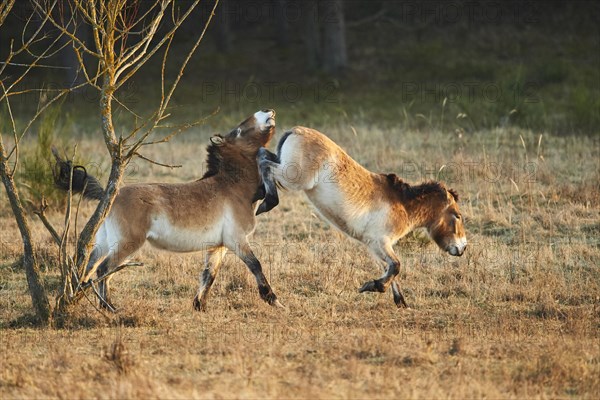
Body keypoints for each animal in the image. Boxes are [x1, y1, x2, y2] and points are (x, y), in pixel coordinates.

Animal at [56, 110, 284, 312]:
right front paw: (274, 300)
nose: (268, 112)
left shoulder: (218, 246)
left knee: (89, 268)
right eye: (238, 131)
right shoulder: (236, 240)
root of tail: (110, 195)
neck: (231, 187)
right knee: (105, 269)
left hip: (105, 243)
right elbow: (255, 265)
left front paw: (199, 306)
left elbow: (209, 275)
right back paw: (109, 307)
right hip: (127, 244)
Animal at [255, 126, 466, 308]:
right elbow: (396, 266)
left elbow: (390, 270)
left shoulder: (374, 246)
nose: (462, 248)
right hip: (293, 178)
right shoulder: (381, 242)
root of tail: (295, 130)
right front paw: (371, 287)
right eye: (457, 216)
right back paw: (267, 202)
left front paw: (400, 302)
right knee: (265, 164)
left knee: (263, 155)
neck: (403, 204)